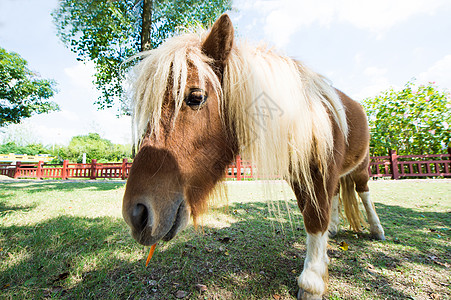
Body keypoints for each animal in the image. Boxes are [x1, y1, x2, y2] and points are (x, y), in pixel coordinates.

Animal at [122, 14, 384, 300]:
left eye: (196, 97)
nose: (136, 213)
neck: (307, 116)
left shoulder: (322, 172)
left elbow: (316, 217)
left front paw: (312, 280)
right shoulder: (301, 176)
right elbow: (313, 213)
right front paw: (321, 259)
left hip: (362, 167)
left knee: (364, 193)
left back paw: (376, 229)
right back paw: (336, 228)